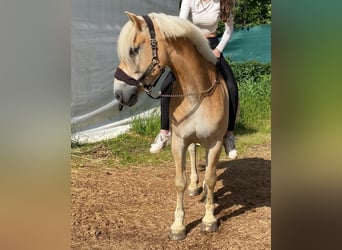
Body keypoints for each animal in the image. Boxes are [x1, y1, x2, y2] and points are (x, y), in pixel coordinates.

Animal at [113, 11, 228, 240]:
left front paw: (209, 219)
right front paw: (177, 225)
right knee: (193, 152)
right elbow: (179, 182)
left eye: (133, 50)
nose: (119, 94)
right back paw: (195, 186)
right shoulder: (179, 142)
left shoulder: (215, 142)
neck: (196, 93)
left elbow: (211, 178)